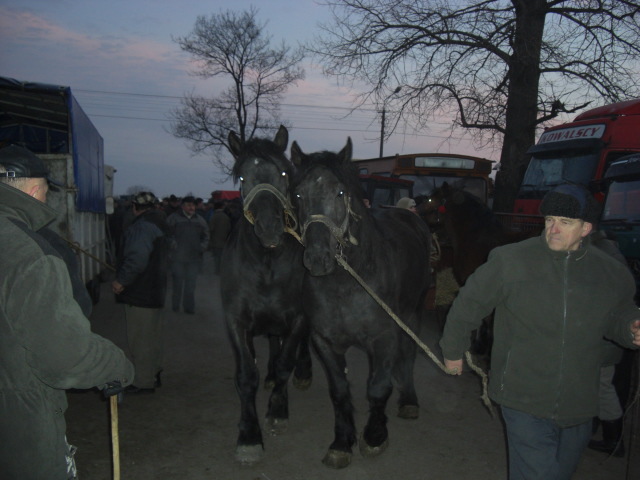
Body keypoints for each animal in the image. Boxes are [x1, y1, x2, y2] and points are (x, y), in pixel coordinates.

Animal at [219, 126, 312, 464]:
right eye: (242, 177)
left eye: (284, 173)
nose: (270, 228)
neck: (267, 264)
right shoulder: (236, 321)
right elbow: (247, 375)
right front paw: (249, 436)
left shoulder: (298, 318)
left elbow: (286, 361)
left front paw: (278, 410)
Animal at [292, 138, 432, 468]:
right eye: (298, 194)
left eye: (341, 192)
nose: (318, 258)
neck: (347, 285)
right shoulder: (325, 342)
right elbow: (340, 391)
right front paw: (342, 442)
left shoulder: (384, 338)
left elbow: (378, 387)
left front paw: (374, 436)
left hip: (413, 313)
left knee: (408, 355)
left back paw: (408, 401)